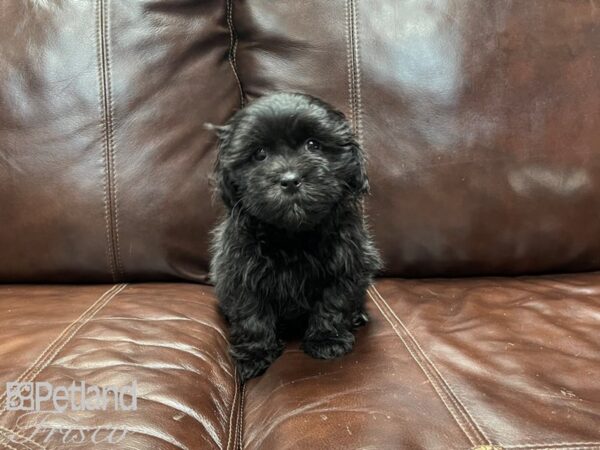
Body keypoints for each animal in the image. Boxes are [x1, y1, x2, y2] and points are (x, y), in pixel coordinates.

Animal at [209, 93, 382, 382]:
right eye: (260, 154)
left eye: (313, 144)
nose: (290, 180)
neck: (292, 235)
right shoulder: (238, 270)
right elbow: (251, 313)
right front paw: (255, 354)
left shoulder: (348, 263)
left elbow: (334, 302)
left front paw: (327, 340)